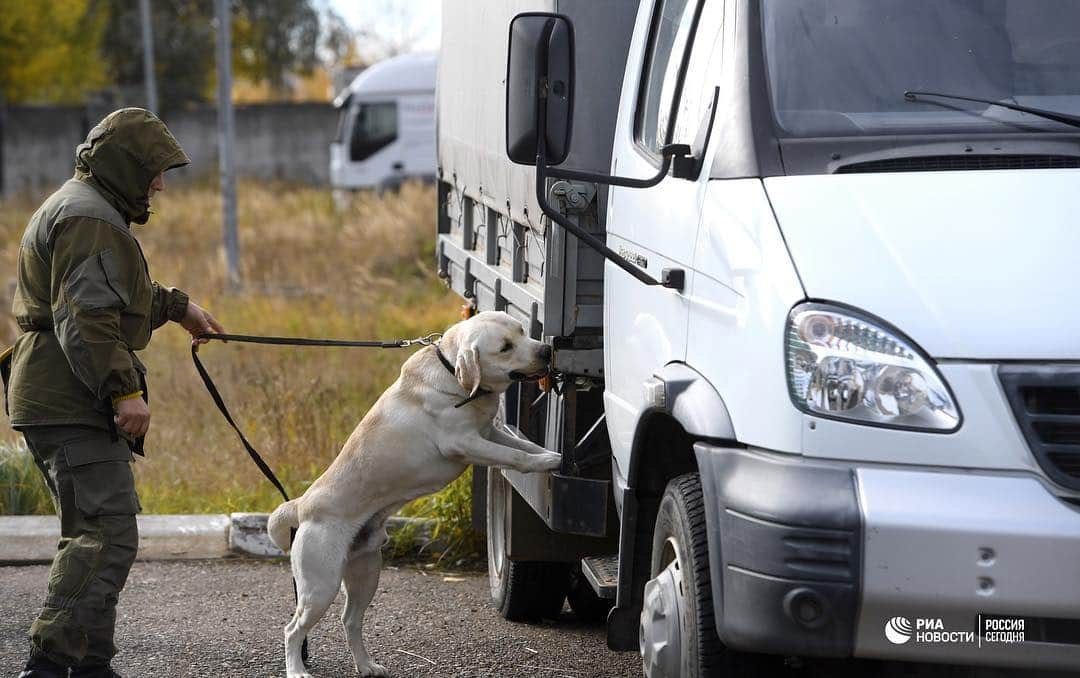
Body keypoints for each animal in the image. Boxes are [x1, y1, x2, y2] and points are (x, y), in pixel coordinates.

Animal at [267, 310, 565, 673]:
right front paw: (547, 462)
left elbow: (522, 444)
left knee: (349, 620)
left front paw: (547, 453)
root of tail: (301, 507)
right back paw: (297, 670)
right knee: (292, 630)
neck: (453, 375)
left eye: (522, 331)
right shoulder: (465, 443)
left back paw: (366, 666)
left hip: (366, 573)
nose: (547, 351)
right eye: (505, 347)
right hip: (320, 586)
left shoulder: (490, 432)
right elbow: (516, 456)